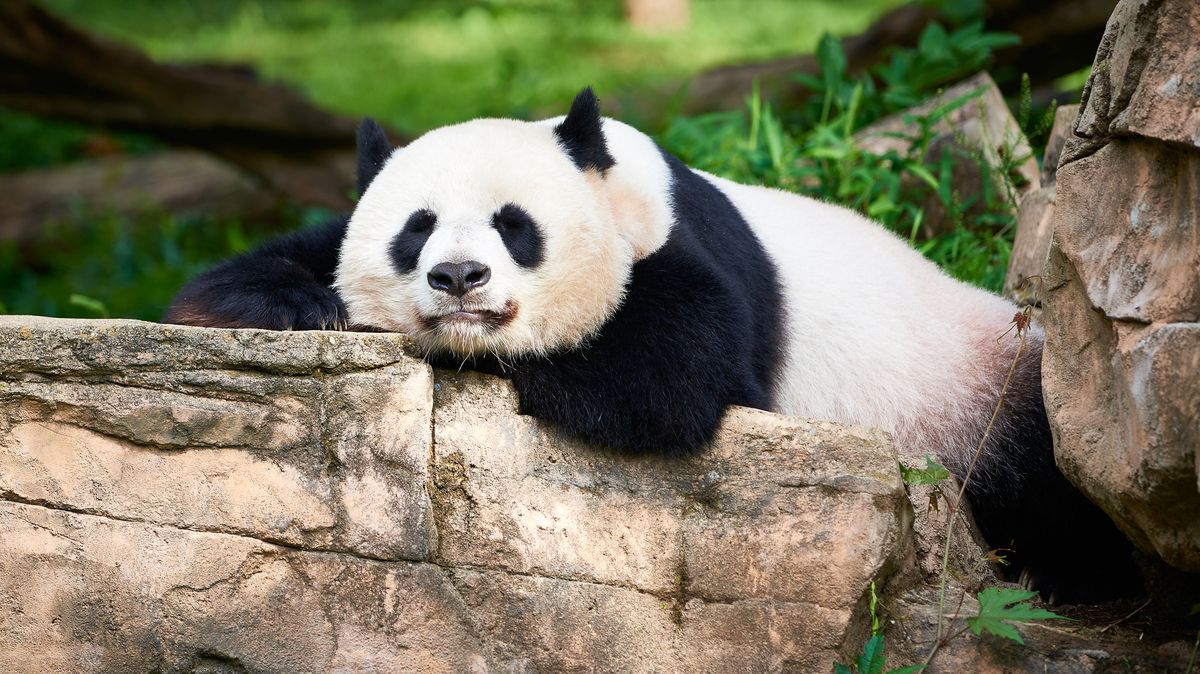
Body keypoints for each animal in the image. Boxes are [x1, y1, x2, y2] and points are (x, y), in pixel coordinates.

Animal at [167, 87, 1139, 604]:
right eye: (417, 228)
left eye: (514, 226)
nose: (458, 279)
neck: (609, 172)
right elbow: (243, 276)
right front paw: (298, 306)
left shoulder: (685, 256)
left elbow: (666, 377)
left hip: (982, 394)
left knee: (1048, 481)